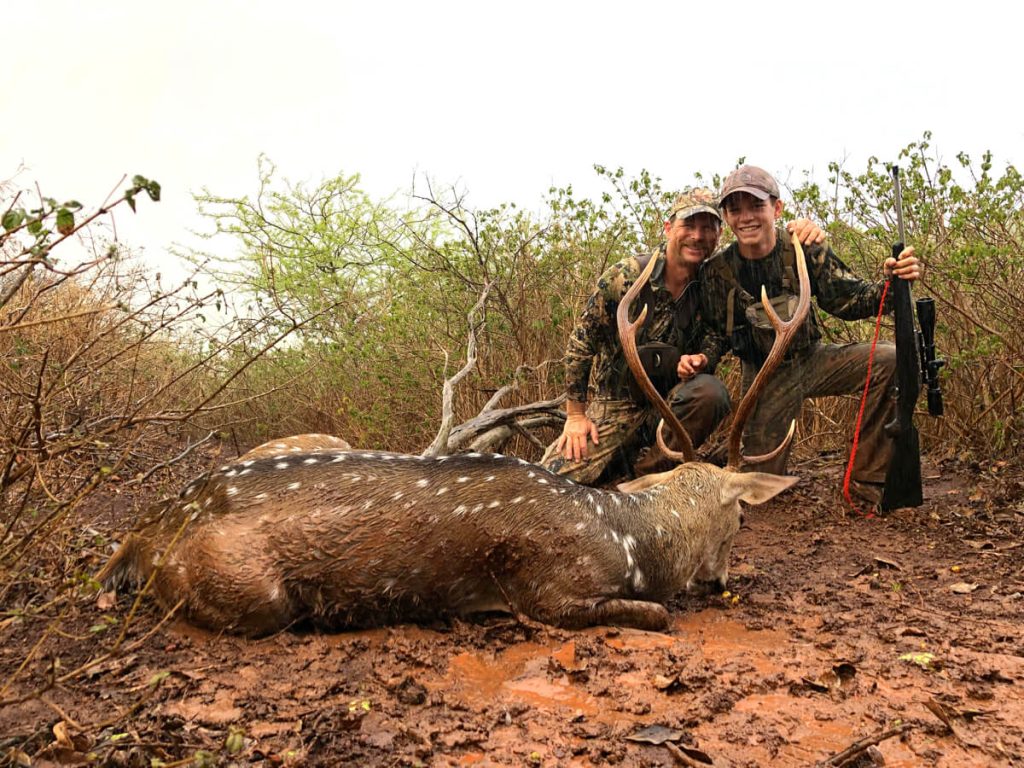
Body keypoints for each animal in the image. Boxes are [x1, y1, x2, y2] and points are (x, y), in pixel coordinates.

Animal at [99, 236, 811, 638]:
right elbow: (658, 615)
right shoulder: (552, 592)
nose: (721, 579)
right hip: (251, 596)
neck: (631, 542)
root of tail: (141, 536)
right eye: (740, 517)